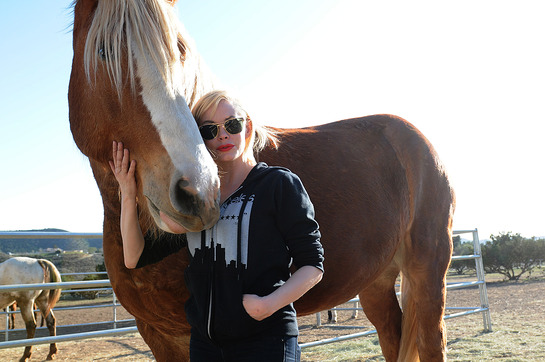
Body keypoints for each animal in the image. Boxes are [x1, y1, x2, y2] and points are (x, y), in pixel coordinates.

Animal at [68, 1, 452, 360]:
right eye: (103, 51)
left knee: (431, 342)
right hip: (376, 281)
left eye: (179, 50)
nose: (197, 192)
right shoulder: (157, 333)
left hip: (427, 274)